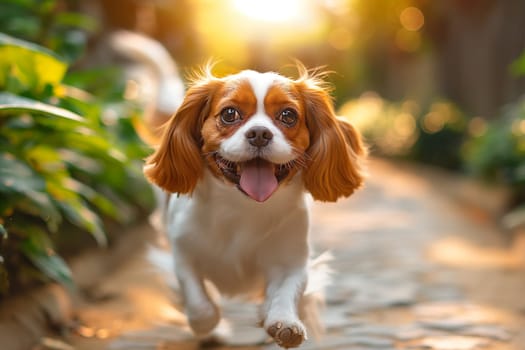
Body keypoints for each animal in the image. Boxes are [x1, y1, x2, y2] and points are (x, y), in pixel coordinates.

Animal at [139, 63, 364, 348]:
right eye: (229, 114)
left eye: (288, 115)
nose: (259, 133)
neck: (244, 206)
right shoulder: (183, 254)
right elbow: (200, 304)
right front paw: (209, 326)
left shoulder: (291, 261)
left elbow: (287, 292)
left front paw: (282, 322)